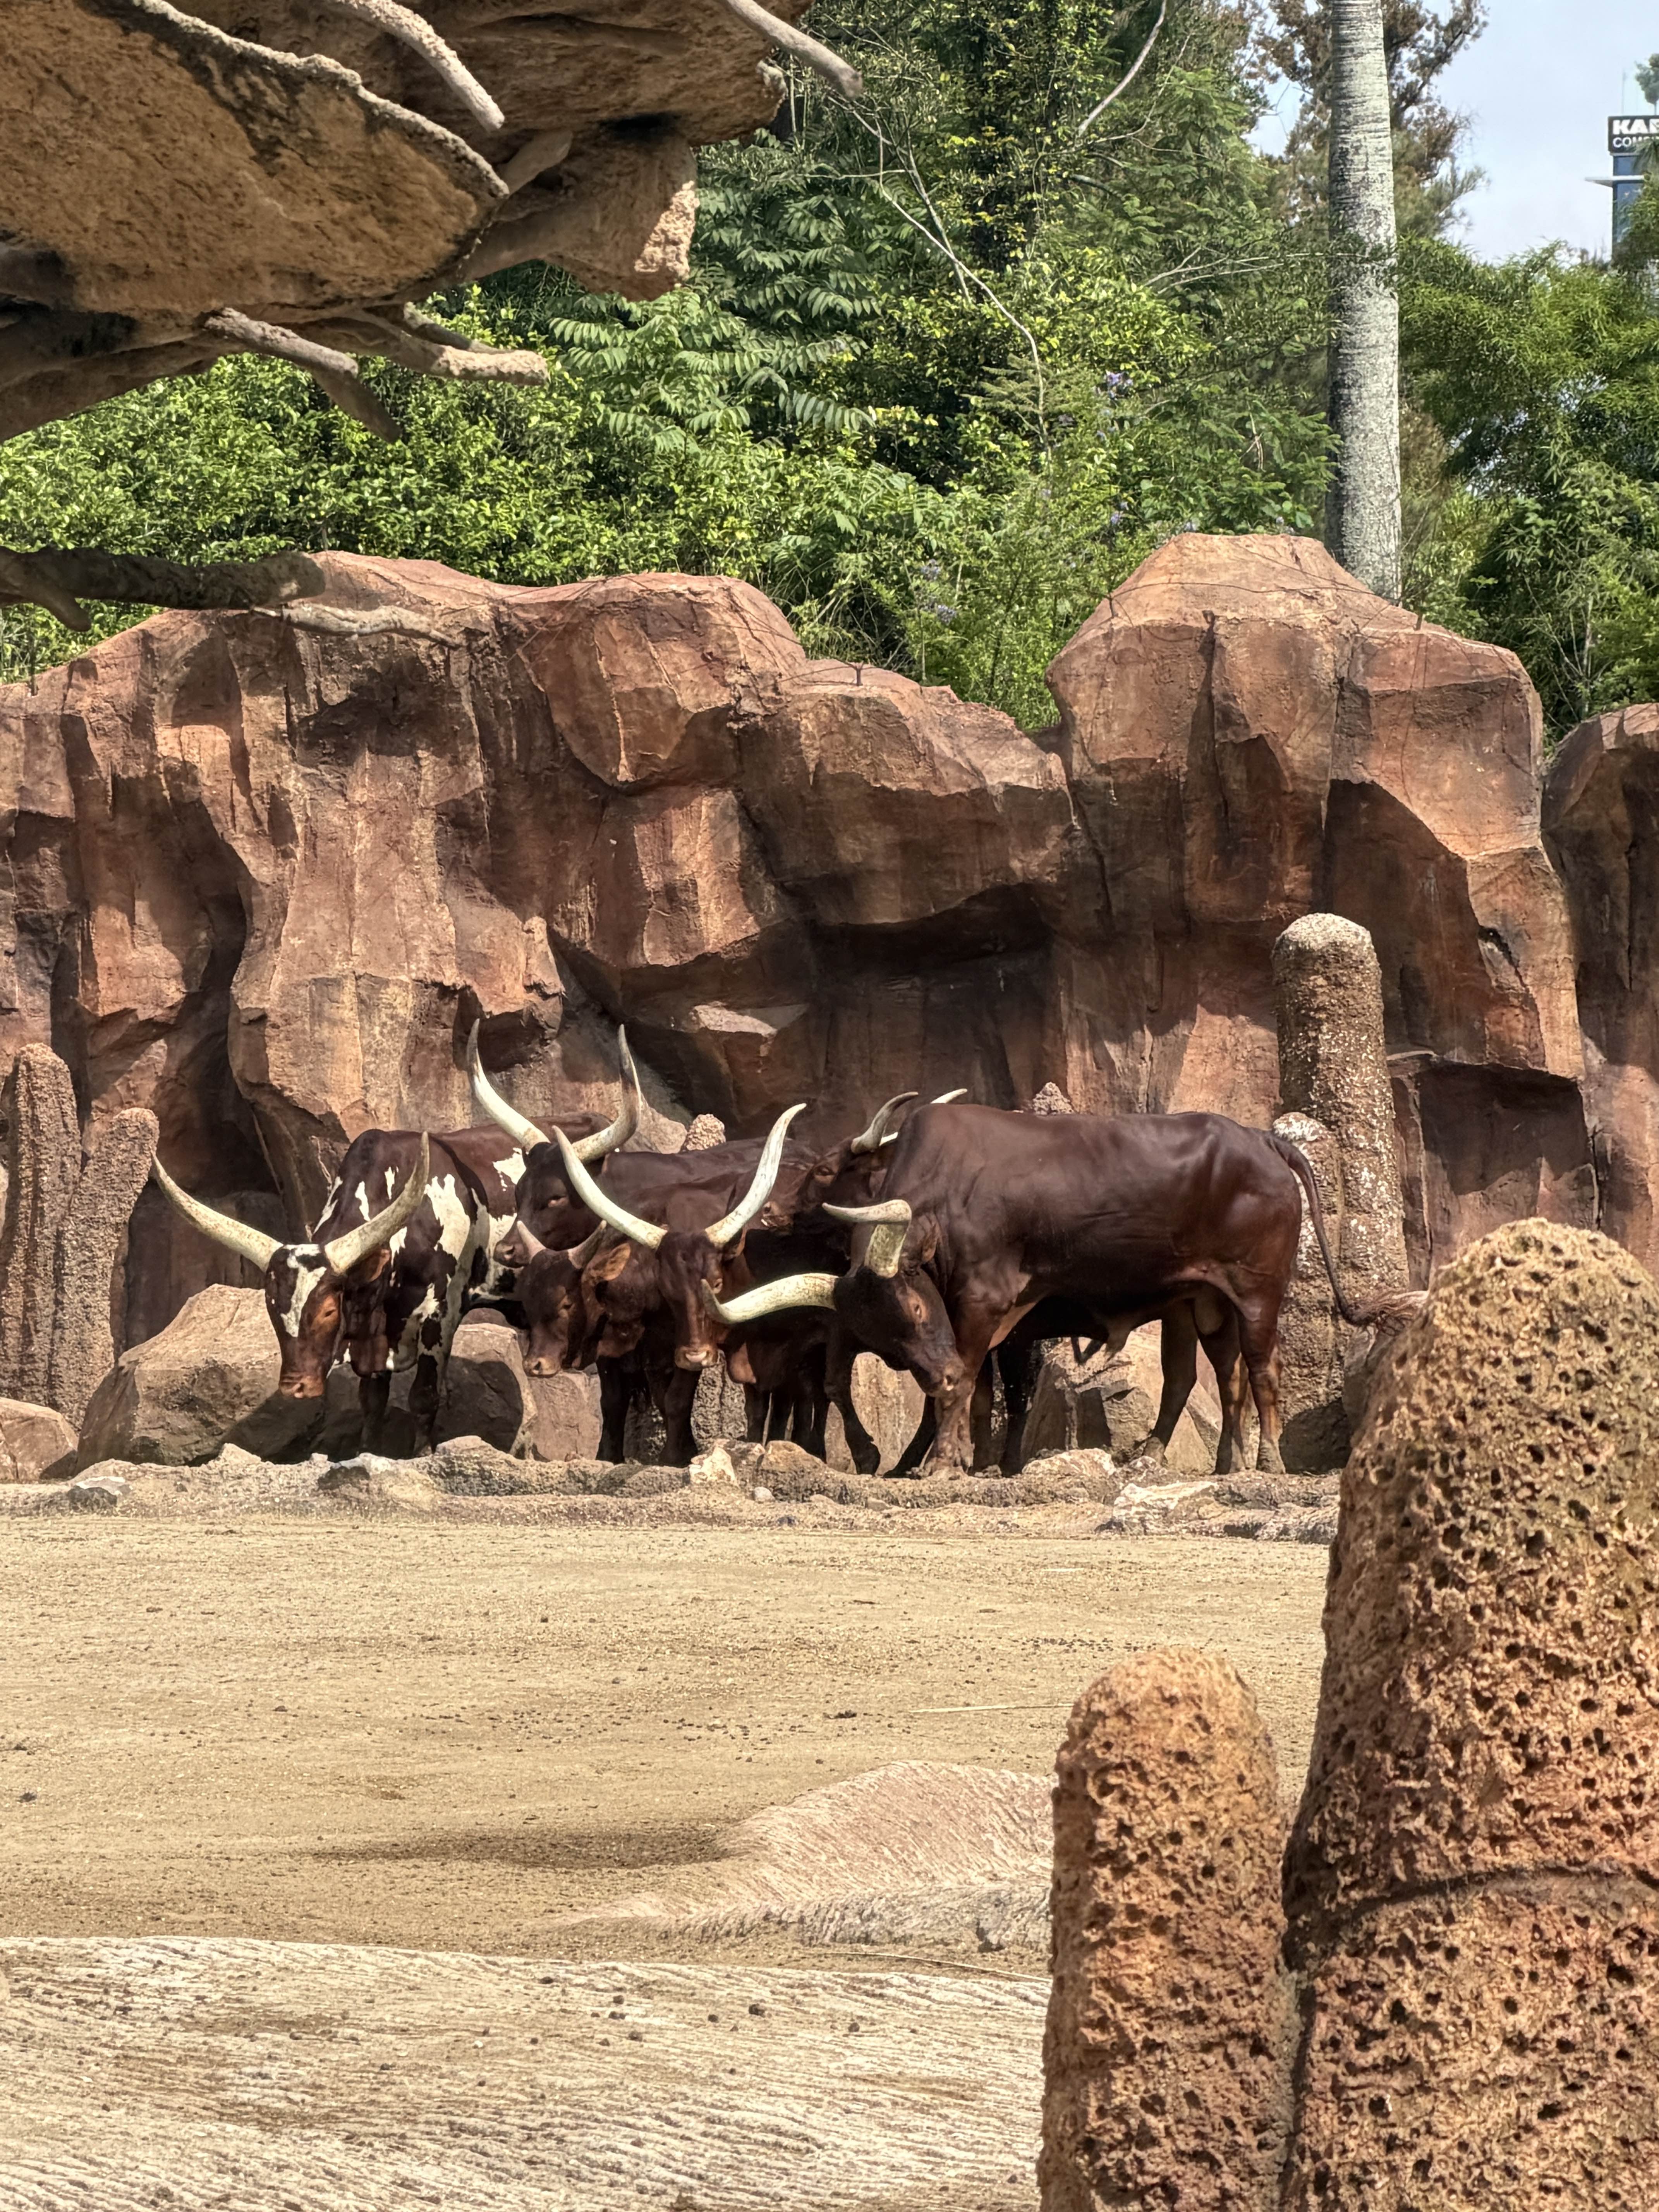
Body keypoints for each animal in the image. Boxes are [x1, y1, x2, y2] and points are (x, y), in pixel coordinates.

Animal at [699, 1100, 1376, 1477]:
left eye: (915, 1304)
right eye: (885, 1340)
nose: (771, 1214)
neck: (946, 1191)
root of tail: (1261, 1138)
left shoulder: (985, 1306)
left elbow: (967, 1388)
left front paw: (941, 1464)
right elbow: (973, 1394)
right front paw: (964, 1460)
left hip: (1259, 1293)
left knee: (1261, 1373)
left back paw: (1267, 1462)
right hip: (1205, 1303)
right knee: (1216, 1378)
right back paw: (1212, 1463)